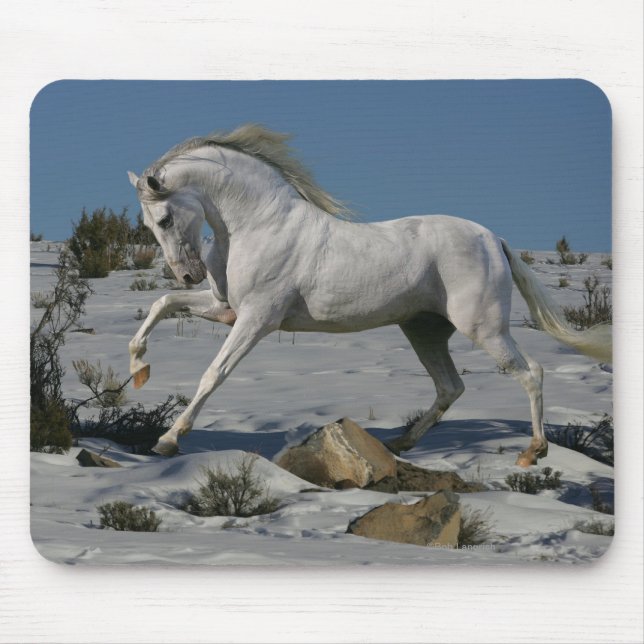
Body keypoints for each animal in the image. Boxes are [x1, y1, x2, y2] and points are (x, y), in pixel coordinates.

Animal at [127, 124, 611, 465]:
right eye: (148, 225)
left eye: (165, 219)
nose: (188, 275)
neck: (258, 225)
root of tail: (494, 239)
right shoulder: (225, 309)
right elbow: (162, 306)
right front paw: (139, 369)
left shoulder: (257, 319)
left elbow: (214, 374)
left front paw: (167, 440)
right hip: (424, 331)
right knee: (450, 386)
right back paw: (399, 443)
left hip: (484, 327)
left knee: (531, 373)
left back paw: (533, 451)